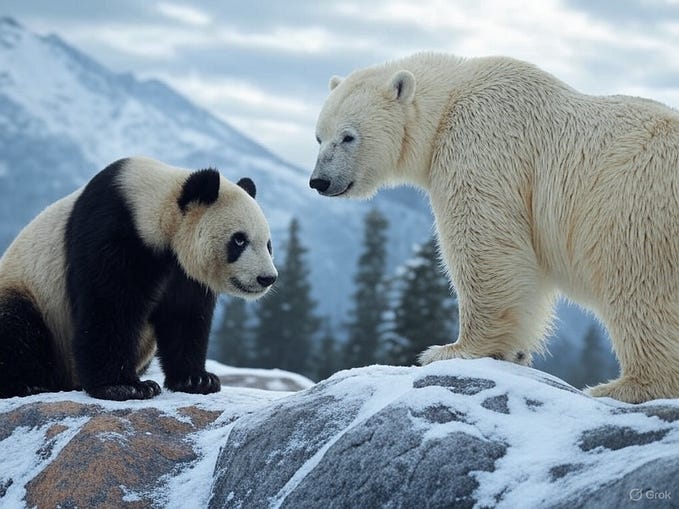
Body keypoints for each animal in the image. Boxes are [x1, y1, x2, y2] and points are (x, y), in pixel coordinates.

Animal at [0, 156, 277, 400]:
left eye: (268, 244)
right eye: (239, 240)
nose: (267, 278)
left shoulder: (182, 271)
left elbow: (185, 315)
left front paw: (198, 379)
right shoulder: (113, 229)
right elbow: (109, 304)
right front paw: (125, 387)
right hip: (27, 289)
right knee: (17, 327)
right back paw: (28, 384)